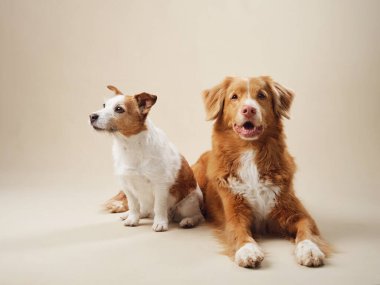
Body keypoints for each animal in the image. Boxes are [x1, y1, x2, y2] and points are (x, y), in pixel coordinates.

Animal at [90, 85, 205, 231]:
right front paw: (132, 219)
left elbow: (159, 207)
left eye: (119, 109)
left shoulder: (160, 186)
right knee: (143, 209)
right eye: (104, 105)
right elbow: (134, 206)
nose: (92, 116)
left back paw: (188, 221)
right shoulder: (127, 187)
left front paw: (160, 223)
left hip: (188, 203)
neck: (129, 145)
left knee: (199, 216)